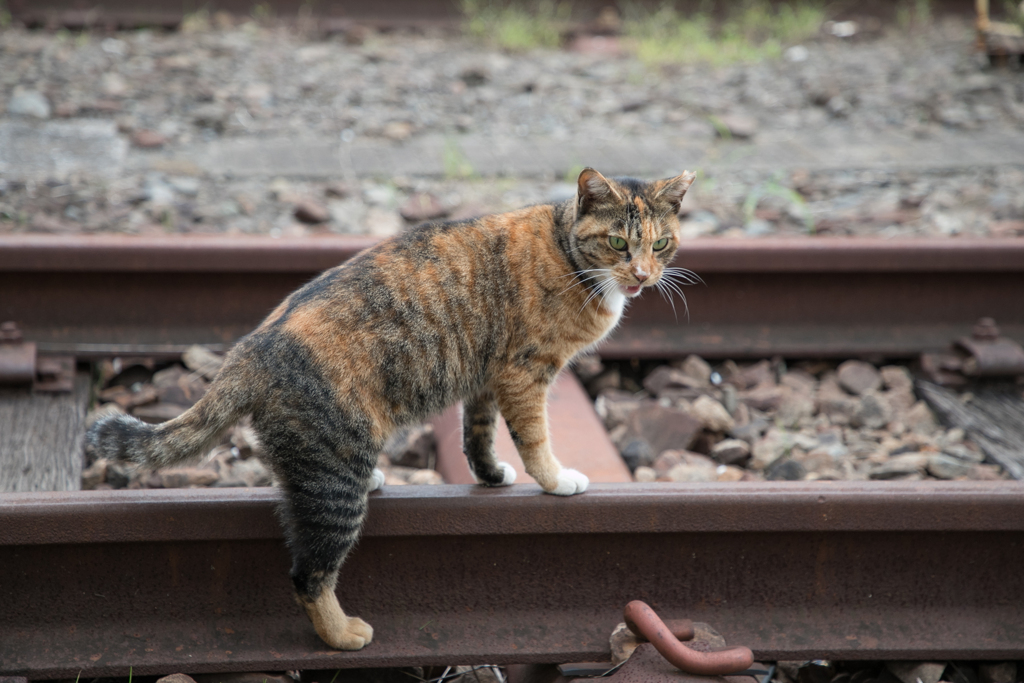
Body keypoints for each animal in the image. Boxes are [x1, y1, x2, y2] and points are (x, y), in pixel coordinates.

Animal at [86, 165, 696, 651]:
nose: (643, 274)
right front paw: (555, 479)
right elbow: (534, 436)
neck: (566, 249)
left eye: (661, 244)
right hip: (334, 484)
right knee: (308, 573)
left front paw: (491, 475)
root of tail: (250, 351)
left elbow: (477, 432)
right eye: (618, 243)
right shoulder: (525, 373)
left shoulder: (487, 376)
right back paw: (342, 634)